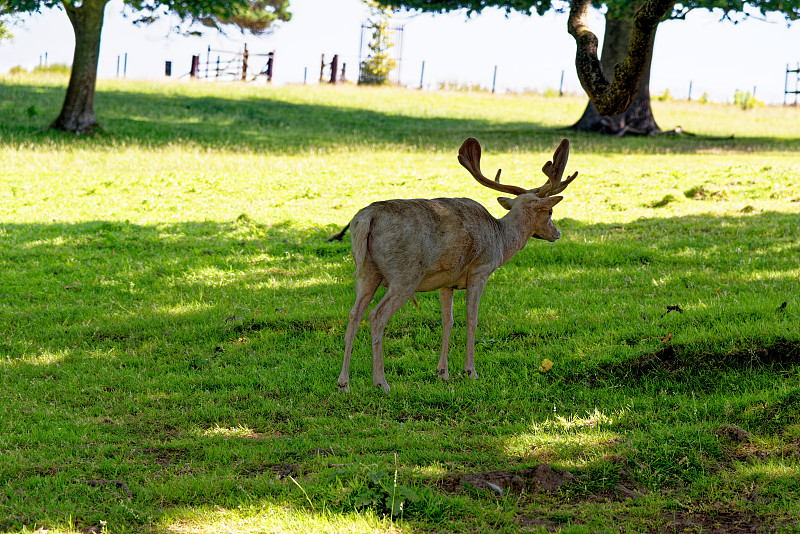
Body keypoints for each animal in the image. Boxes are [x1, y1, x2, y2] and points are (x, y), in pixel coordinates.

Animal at [334, 139, 580, 394]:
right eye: (550, 211)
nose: (557, 233)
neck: (501, 239)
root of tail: (366, 219)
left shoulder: (447, 281)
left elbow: (448, 321)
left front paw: (443, 372)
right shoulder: (481, 269)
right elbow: (472, 319)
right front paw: (470, 371)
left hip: (366, 271)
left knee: (354, 314)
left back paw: (344, 383)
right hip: (405, 274)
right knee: (376, 315)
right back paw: (381, 382)